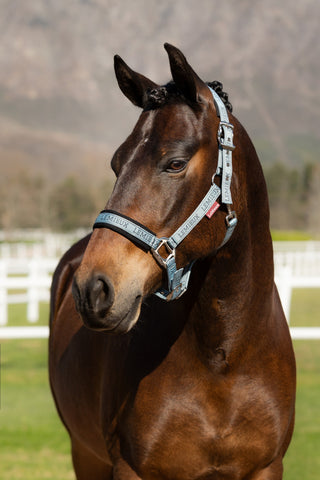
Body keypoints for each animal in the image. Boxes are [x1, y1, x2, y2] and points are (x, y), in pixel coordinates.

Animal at [48, 43, 296, 478]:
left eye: (175, 163)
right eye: (116, 164)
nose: (92, 289)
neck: (224, 360)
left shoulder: (266, 467)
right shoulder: (132, 469)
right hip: (85, 455)